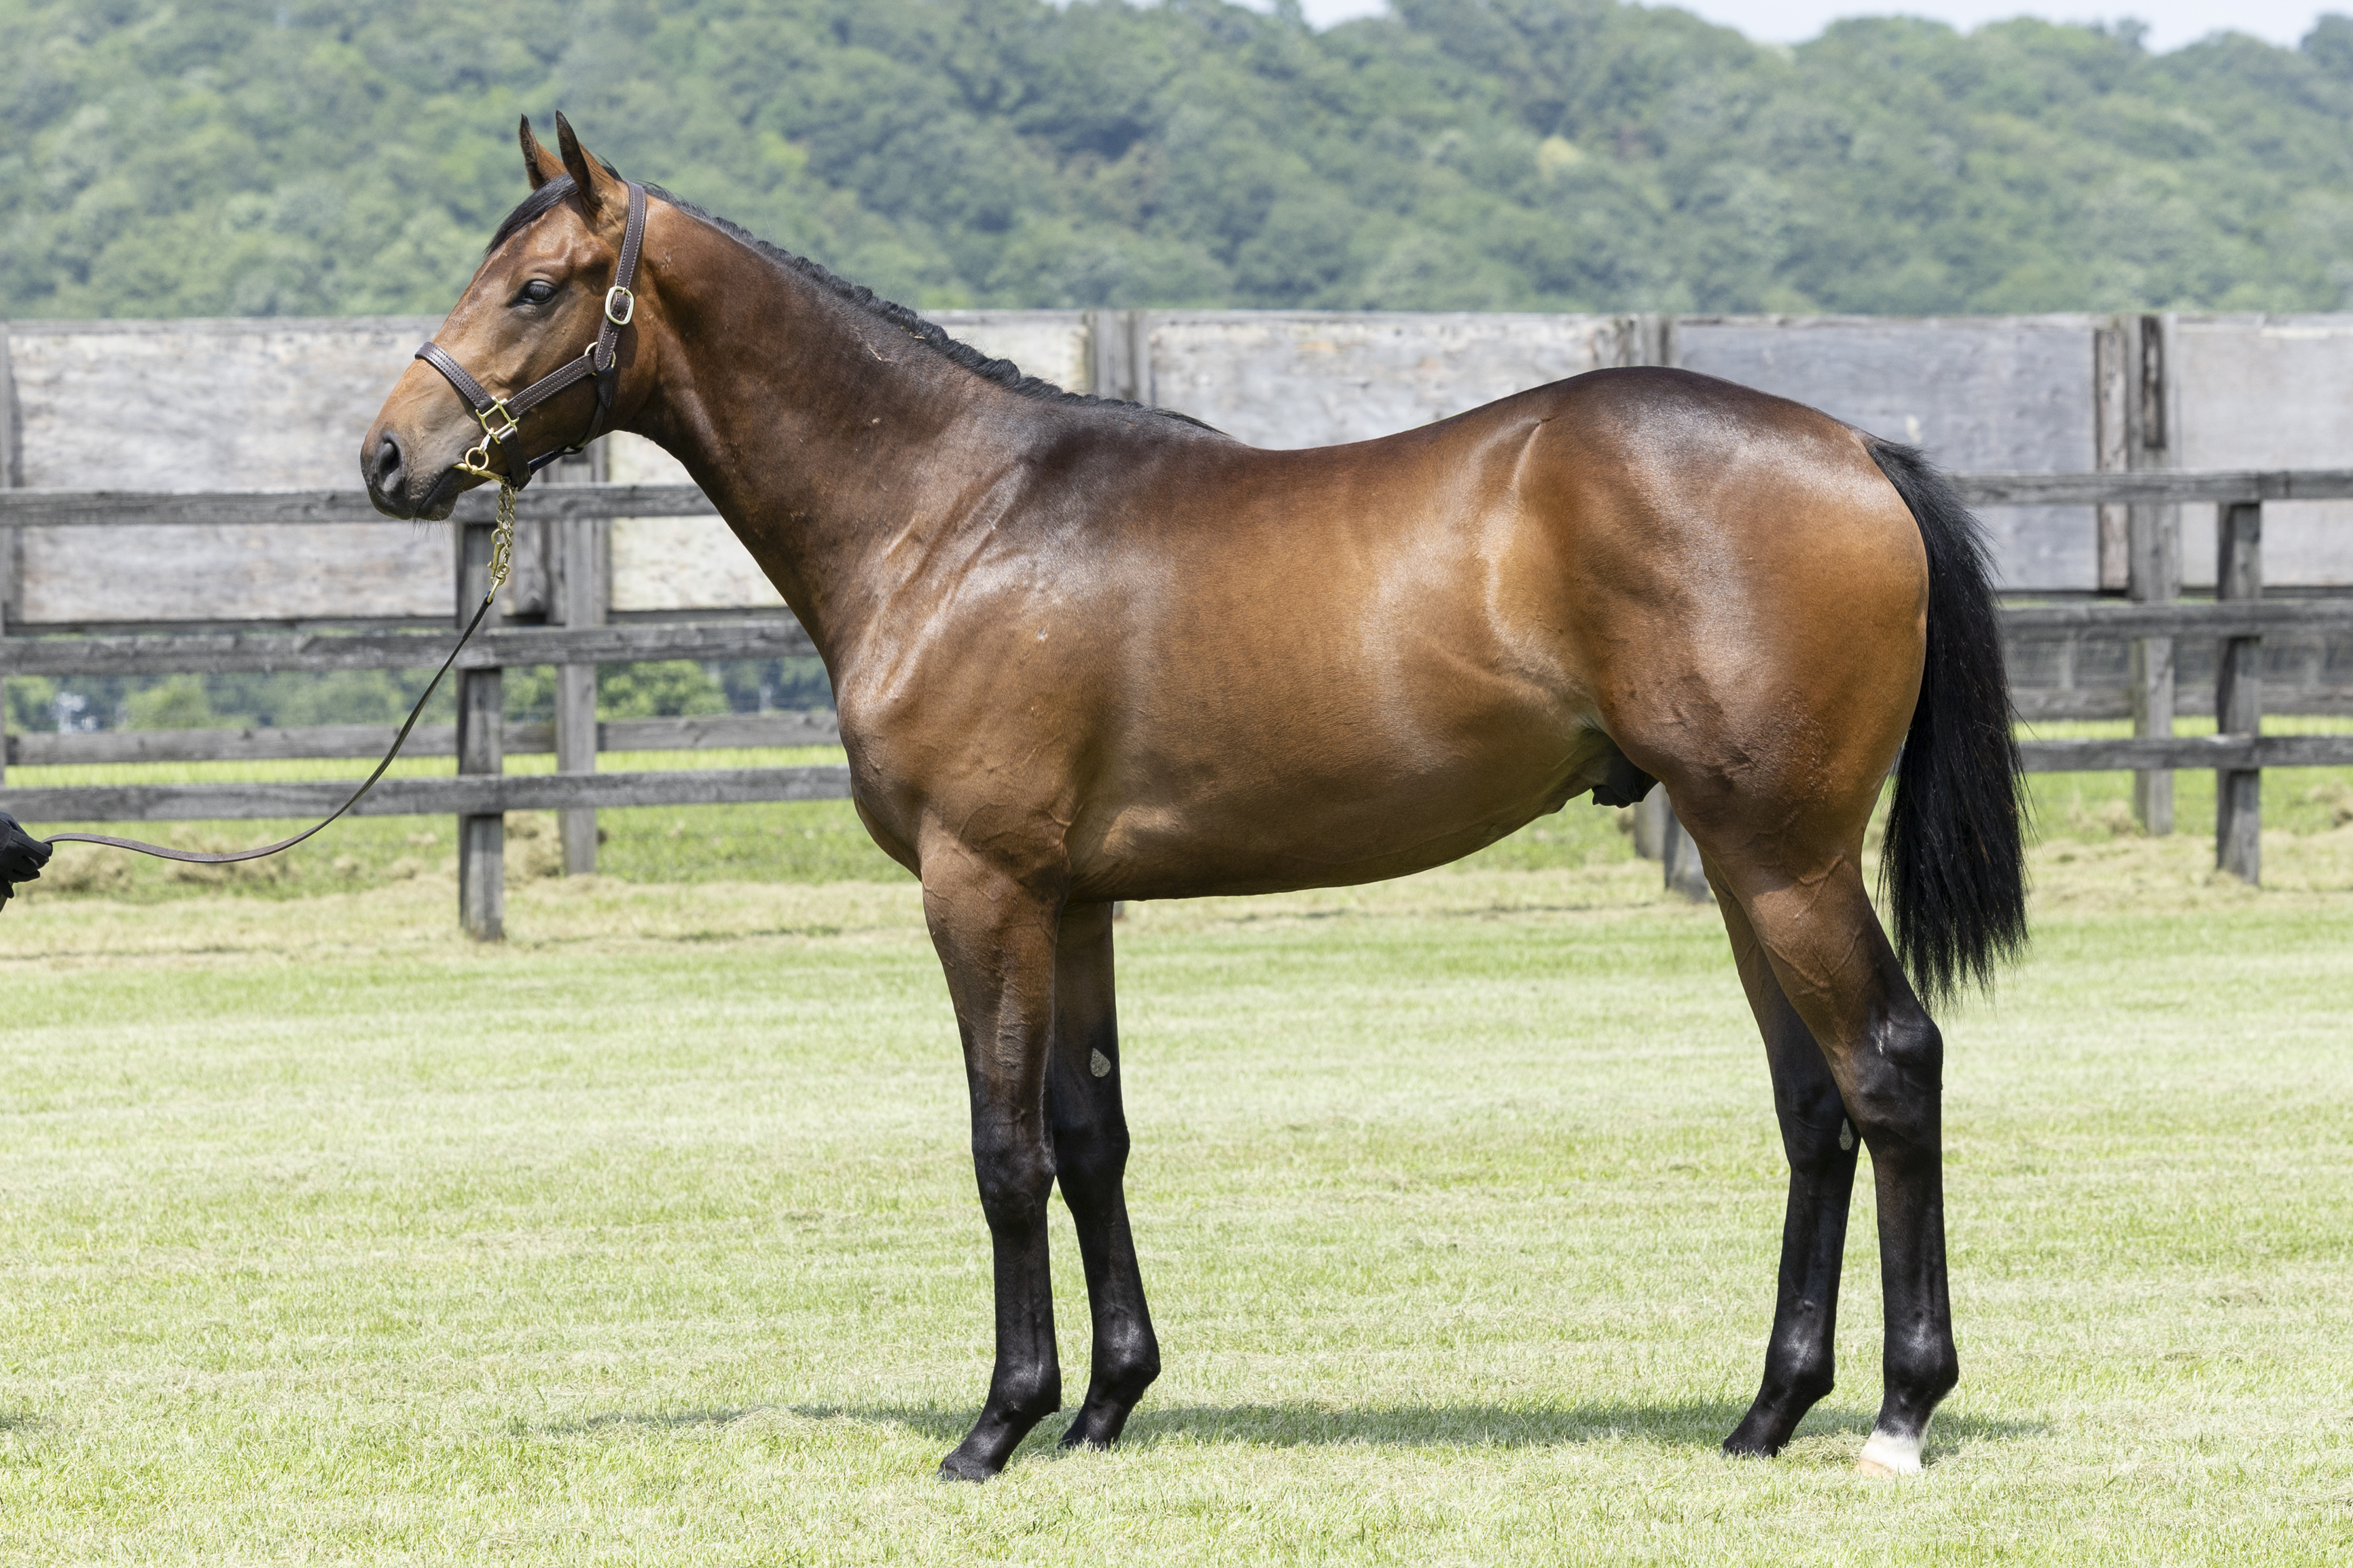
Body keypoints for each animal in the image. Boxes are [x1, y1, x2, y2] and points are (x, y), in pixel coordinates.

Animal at [363, 115, 2025, 1483]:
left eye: (537, 288)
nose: (390, 454)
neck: (952, 514)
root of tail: (1851, 446)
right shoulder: (1072, 899)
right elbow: (1090, 1134)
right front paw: (1105, 1401)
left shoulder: (977, 886)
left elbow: (1004, 1148)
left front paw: (998, 1421)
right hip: (1746, 861)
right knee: (1812, 1106)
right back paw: (1766, 1410)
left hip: (1784, 853)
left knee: (1889, 1067)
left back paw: (1898, 1410)